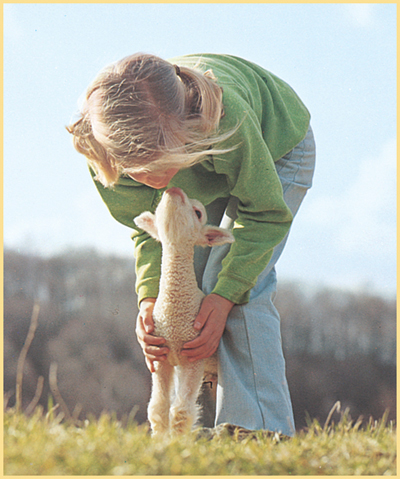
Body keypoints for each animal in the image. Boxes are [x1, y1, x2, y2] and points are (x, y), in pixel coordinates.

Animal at [134, 188, 234, 438]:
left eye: (198, 212)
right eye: (159, 206)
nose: (173, 189)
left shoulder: (194, 356)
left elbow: (181, 410)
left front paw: (177, 442)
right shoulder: (160, 355)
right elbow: (158, 406)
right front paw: (160, 440)